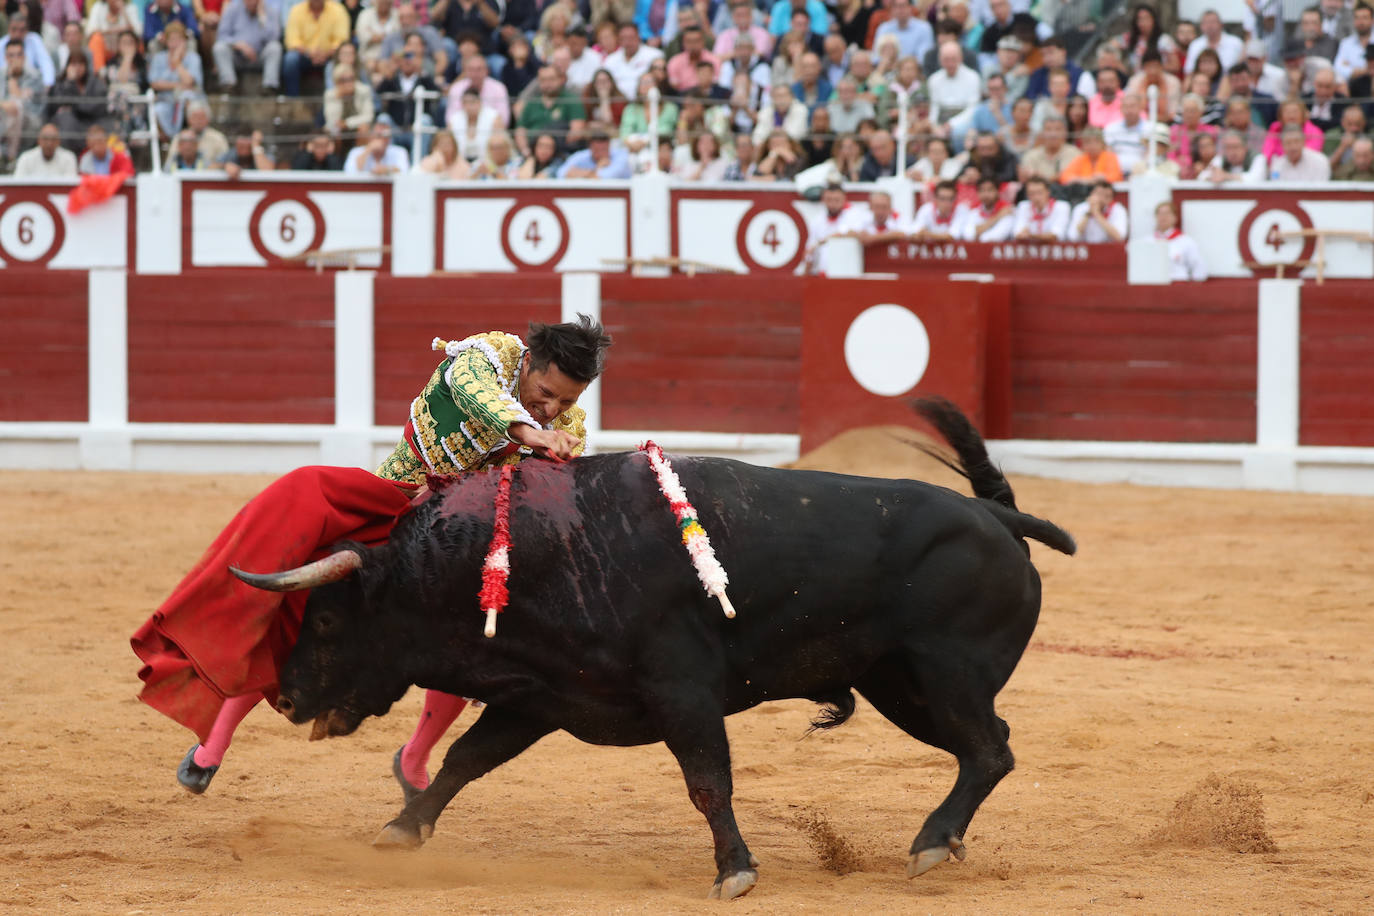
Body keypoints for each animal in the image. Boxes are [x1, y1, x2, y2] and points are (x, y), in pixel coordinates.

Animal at [236, 403, 1071, 900]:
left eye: (329, 622)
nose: (286, 696)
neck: (538, 552)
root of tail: (999, 518)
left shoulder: (683, 692)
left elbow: (708, 781)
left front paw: (736, 871)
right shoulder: (542, 694)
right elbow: (466, 759)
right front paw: (403, 828)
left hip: (945, 675)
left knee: (989, 751)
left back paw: (929, 843)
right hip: (901, 687)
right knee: (984, 750)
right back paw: (943, 841)